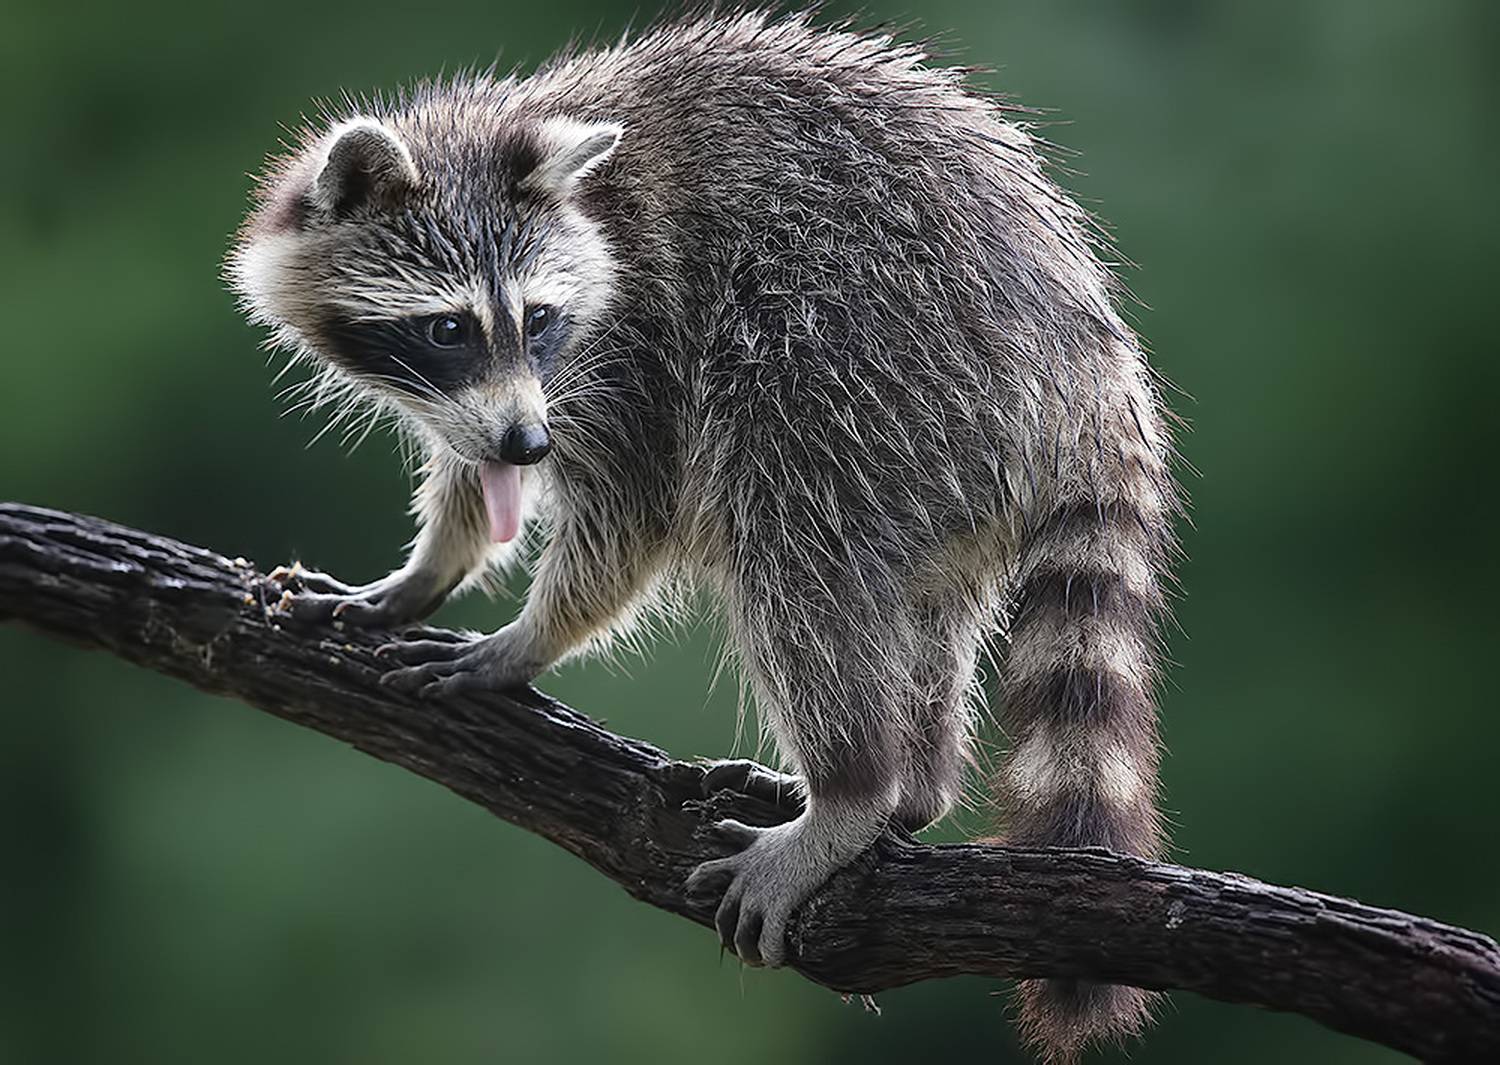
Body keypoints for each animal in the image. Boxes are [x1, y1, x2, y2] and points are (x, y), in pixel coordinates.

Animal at [228, 10, 1177, 1059]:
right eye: (448, 329)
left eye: (539, 318)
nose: (529, 442)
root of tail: (1088, 359)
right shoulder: (489, 396)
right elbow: (471, 470)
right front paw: (429, 566)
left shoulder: (638, 334)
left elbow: (630, 511)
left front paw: (530, 634)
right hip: (951, 462)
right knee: (919, 611)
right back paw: (913, 783)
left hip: (872, 362)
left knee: (790, 543)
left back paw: (855, 789)